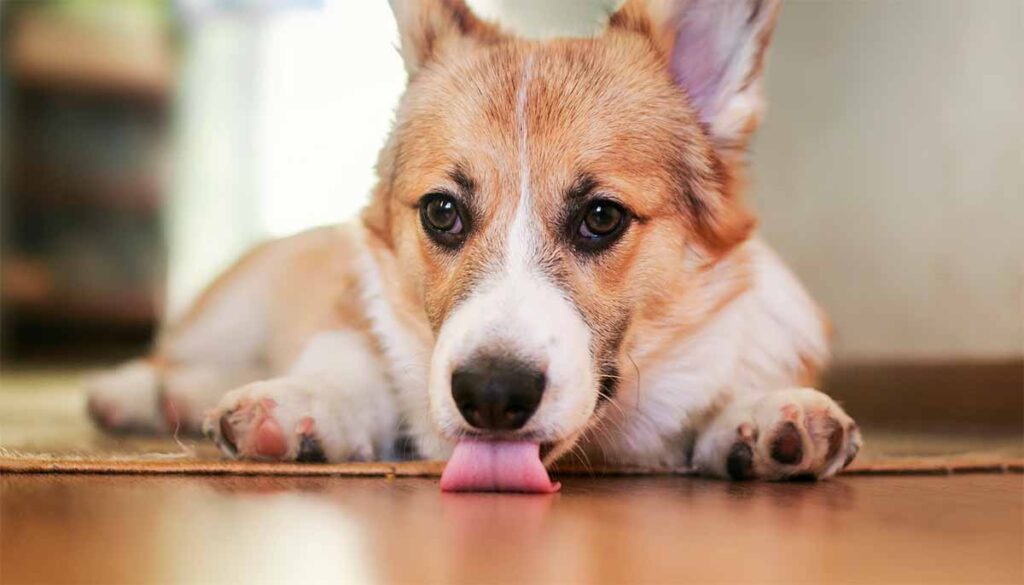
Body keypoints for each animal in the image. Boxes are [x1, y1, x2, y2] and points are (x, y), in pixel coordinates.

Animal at [88, 0, 860, 493]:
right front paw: (304, 403)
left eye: (601, 217)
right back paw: (131, 393)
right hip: (234, 311)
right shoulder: (353, 318)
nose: (490, 396)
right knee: (174, 355)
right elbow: (351, 364)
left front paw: (768, 415)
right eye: (442, 212)